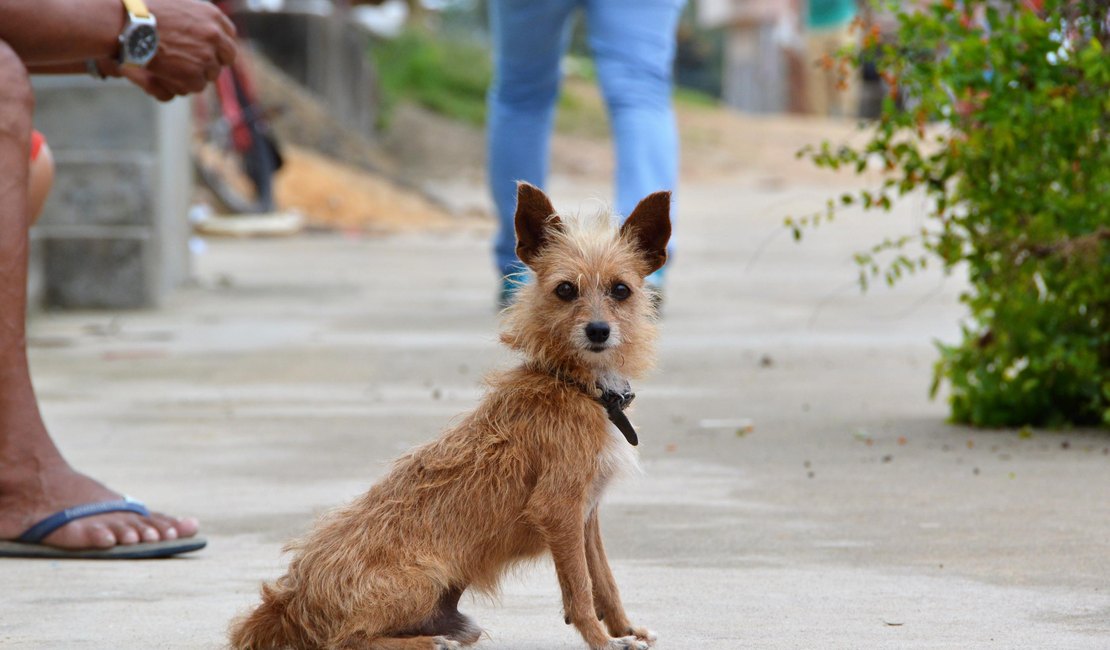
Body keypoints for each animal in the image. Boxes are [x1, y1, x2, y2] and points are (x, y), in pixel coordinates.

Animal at [229, 181, 670, 647]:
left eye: (621, 290)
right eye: (566, 289)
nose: (598, 331)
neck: (576, 386)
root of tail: (289, 601)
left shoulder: (586, 516)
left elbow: (603, 579)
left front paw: (625, 628)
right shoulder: (559, 510)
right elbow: (581, 590)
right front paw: (602, 640)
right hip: (419, 580)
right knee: (347, 641)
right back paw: (429, 642)